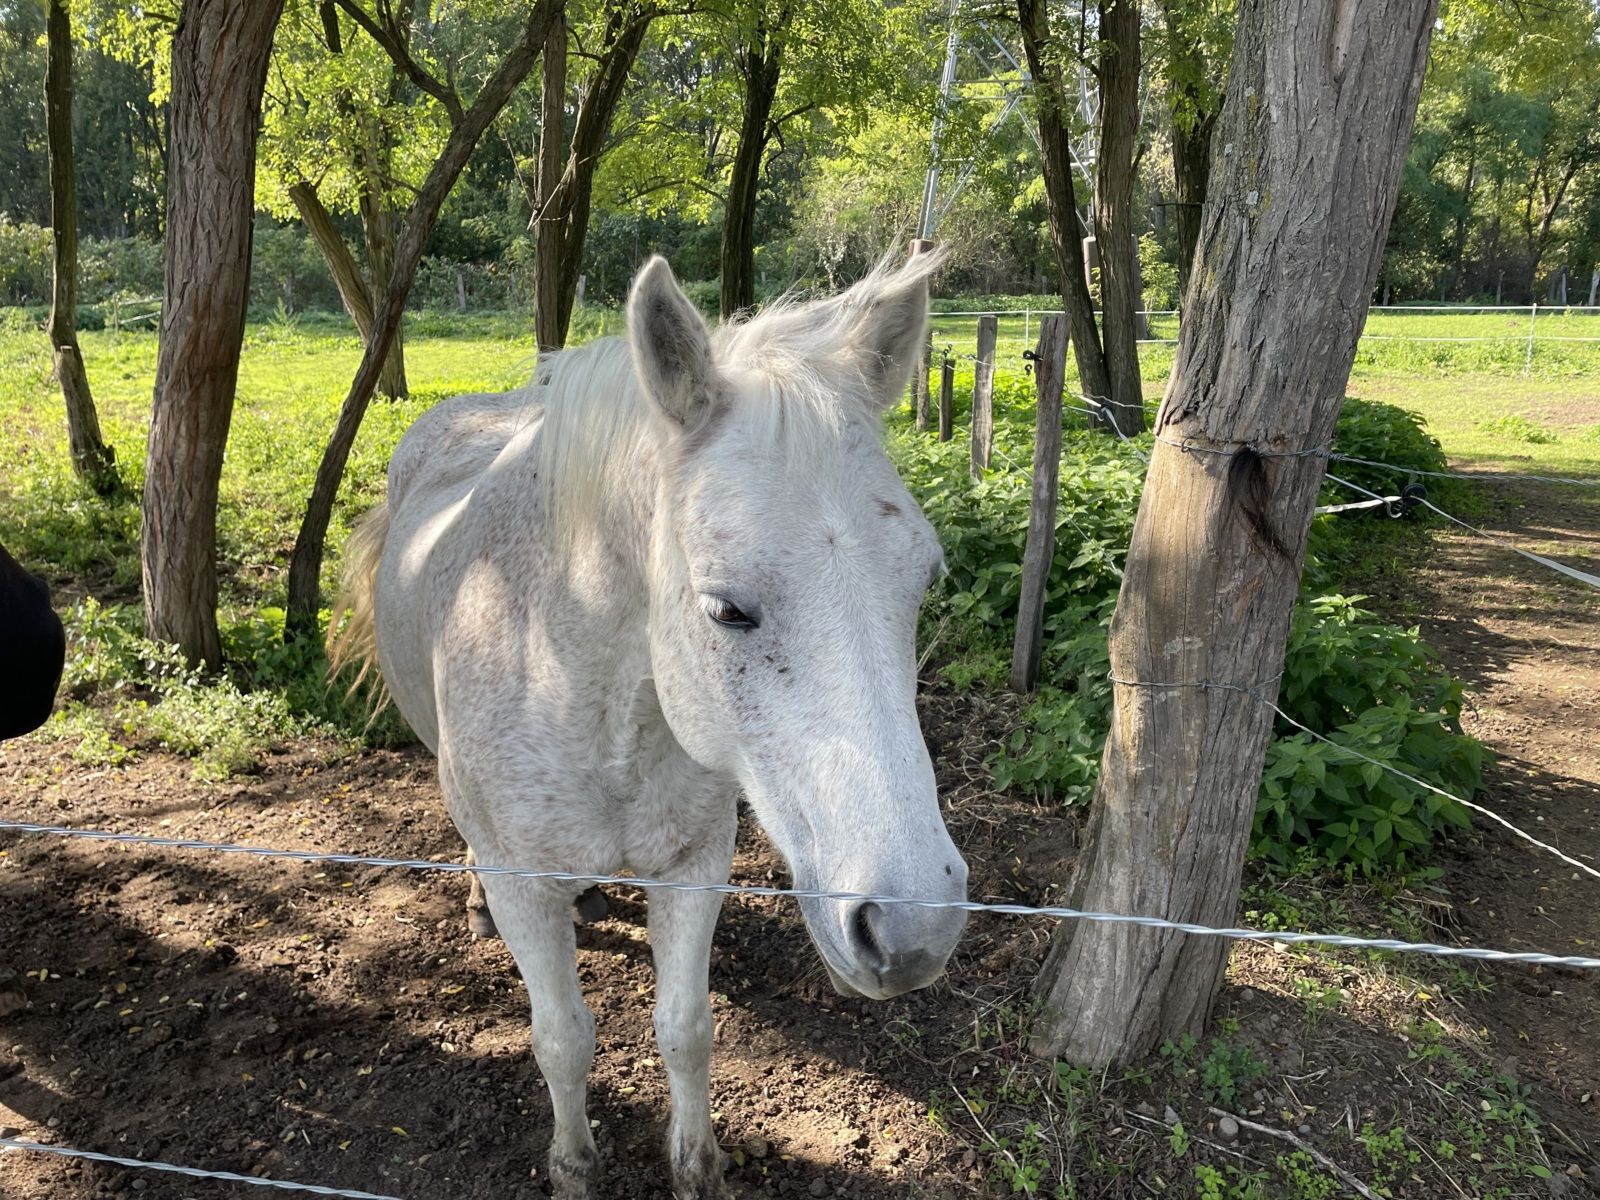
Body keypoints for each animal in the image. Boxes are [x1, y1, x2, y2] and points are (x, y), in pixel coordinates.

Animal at [329, 250, 968, 1199]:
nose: (914, 930)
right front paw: (573, 1166)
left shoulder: (694, 868)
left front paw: (697, 1166)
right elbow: (562, 1039)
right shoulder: (526, 886)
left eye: (925, 578)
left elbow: (687, 1030)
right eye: (726, 609)